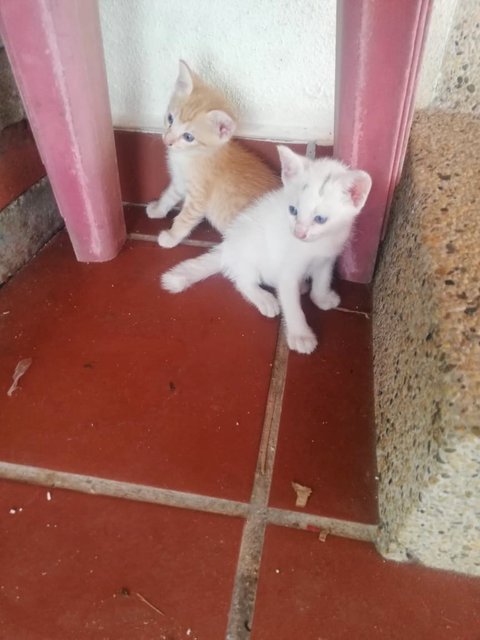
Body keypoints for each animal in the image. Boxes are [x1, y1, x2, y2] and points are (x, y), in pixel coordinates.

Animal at [148, 61, 280, 248]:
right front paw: (158, 209)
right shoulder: (180, 181)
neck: (189, 156)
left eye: (188, 137)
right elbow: (168, 195)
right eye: (170, 118)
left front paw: (171, 237)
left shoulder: (198, 197)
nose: (167, 141)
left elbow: (185, 218)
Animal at [161, 146, 372, 356]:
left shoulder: (327, 258)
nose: (299, 233)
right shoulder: (288, 271)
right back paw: (264, 298)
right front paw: (301, 336)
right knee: (242, 281)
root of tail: (227, 247)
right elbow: (291, 304)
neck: (318, 245)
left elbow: (323, 279)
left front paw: (322, 297)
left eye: (320, 219)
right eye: (293, 210)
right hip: (248, 253)